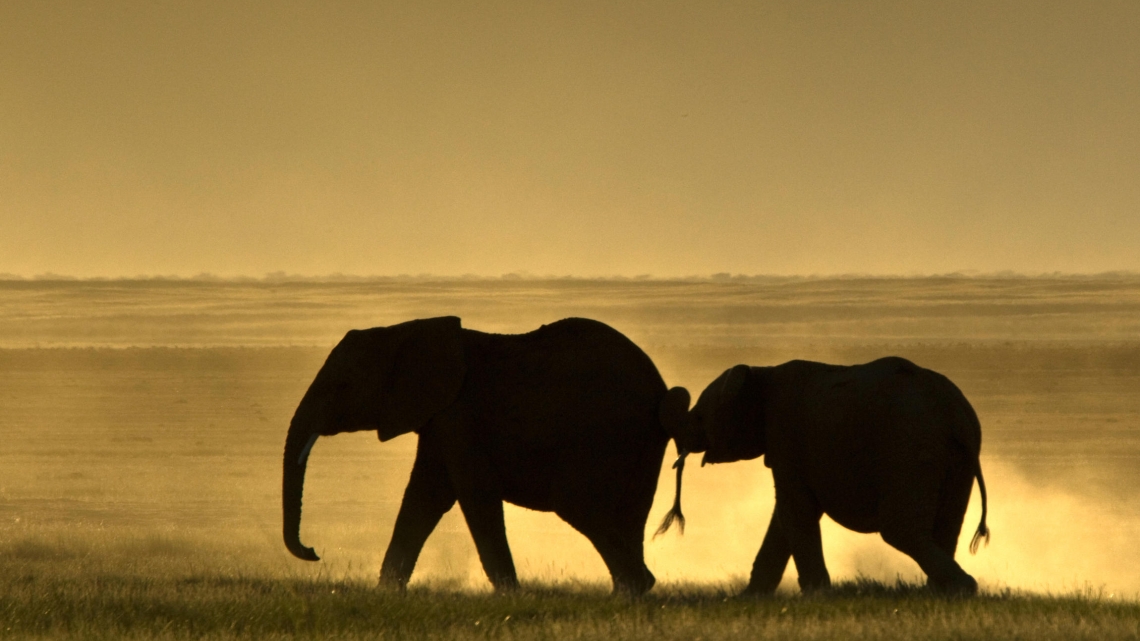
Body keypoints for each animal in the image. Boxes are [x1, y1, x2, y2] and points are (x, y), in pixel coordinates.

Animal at [283, 317, 670, 593]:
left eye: (342, 386)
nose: (314, 552)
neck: (402, 331)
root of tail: (660, 388)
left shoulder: (458, 413)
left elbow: (472, 493)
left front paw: (512, 596)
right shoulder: (440, 417)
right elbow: (424, 497)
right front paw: (387, 593)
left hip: (606, 429)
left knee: (577, 503)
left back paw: (633, 588)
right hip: (643, 438)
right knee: (630, 510)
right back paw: (633, 590)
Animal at [661, 353, 989, 593]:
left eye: (700, 416)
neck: (761, 372)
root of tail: (954, 411)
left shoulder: (787, 436)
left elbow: (794, 510)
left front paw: (816, 595)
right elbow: (785, 517)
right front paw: (750, 597)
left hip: (910, 449)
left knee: (901, 529)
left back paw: (961, 589)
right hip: (957, 456)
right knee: (947, 525)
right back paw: (944, 593)